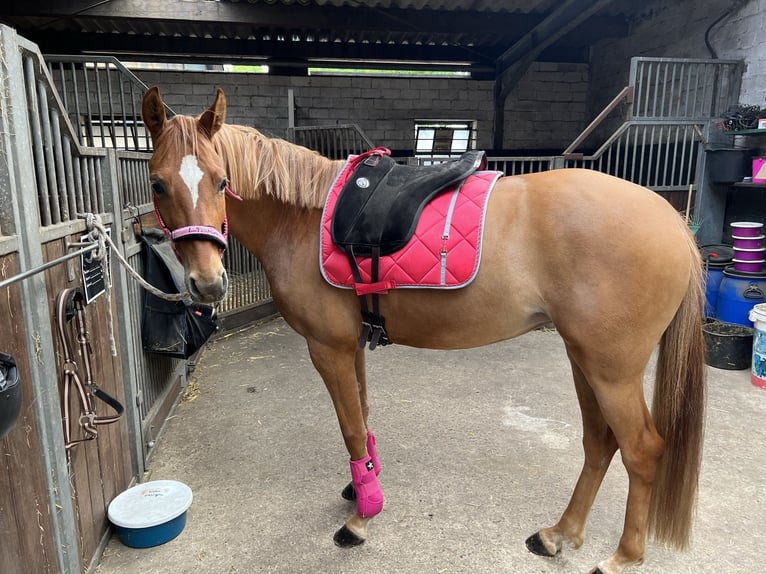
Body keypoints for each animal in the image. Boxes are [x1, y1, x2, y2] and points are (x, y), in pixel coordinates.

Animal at [142, 86, 708, 574]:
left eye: (221, 181)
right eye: (158, 184)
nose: (208, 284)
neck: (303, 219)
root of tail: (670, 218)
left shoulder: (328, 348)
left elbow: (350, 427)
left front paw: (362, 518)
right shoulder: (353, 346)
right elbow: (363, 415)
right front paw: (364, 487)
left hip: (612, 368)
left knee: (641, 449)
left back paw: (623, 556)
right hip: (583, 358)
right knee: (599, 443)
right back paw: (558, 534)